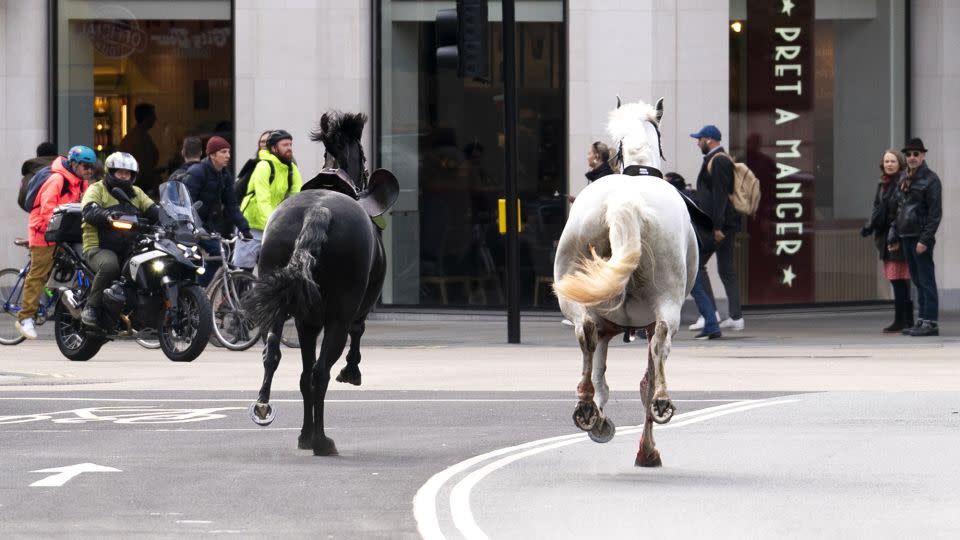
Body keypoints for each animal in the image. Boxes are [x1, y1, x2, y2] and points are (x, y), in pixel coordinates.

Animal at [246, 113, 392, 456]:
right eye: (363, 155)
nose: (366, 174)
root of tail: (318, 211)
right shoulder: (354, 311)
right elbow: (357, 333)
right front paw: (351, 371)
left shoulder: (306, 323)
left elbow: (301, 376)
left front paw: (303, 433)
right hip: (338, 316)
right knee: (321, 372)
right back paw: (322, 441)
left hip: (281, 306)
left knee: (276, 357)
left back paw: (268, 408)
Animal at [556, 98, 696, 468]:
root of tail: (625, 202)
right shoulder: (642, 324)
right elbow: (644, 378)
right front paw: (647, 450)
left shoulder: (606, 326)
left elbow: (600, 373)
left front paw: (599, 418)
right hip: (667, 302)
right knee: (660, 345)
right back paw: (661, 404)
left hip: (574, 295)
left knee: (585, 335)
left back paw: (586, 408)